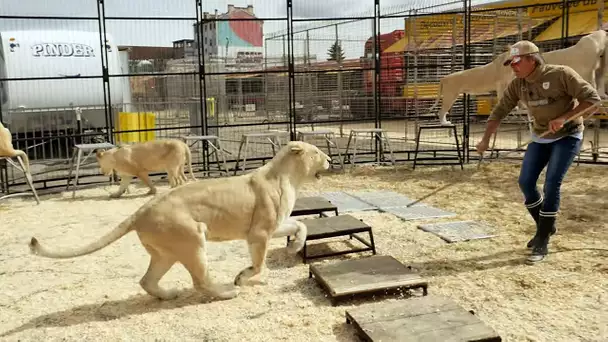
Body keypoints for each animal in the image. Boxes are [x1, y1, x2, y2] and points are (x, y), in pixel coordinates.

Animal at [28, 140, 330, 300]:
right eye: (316, 152)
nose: (328, 158)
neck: (289, 177)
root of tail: (141, 211)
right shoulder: (259, 233)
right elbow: (258, 264)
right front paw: (241, 278)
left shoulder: (274, 226)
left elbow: (301, 225)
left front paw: (294, 246)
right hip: (192, 239)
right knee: (200, 281)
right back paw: (226, 292)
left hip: (167, 252)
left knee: (147, 281)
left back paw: (169, 294)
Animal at [432, 30, 608, 125]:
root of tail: (444, 78)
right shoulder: (501, 83)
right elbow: (504, 96)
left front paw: (519, 108)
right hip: (450, 95)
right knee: (441, 111)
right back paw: (444, 122)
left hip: (451, 95)